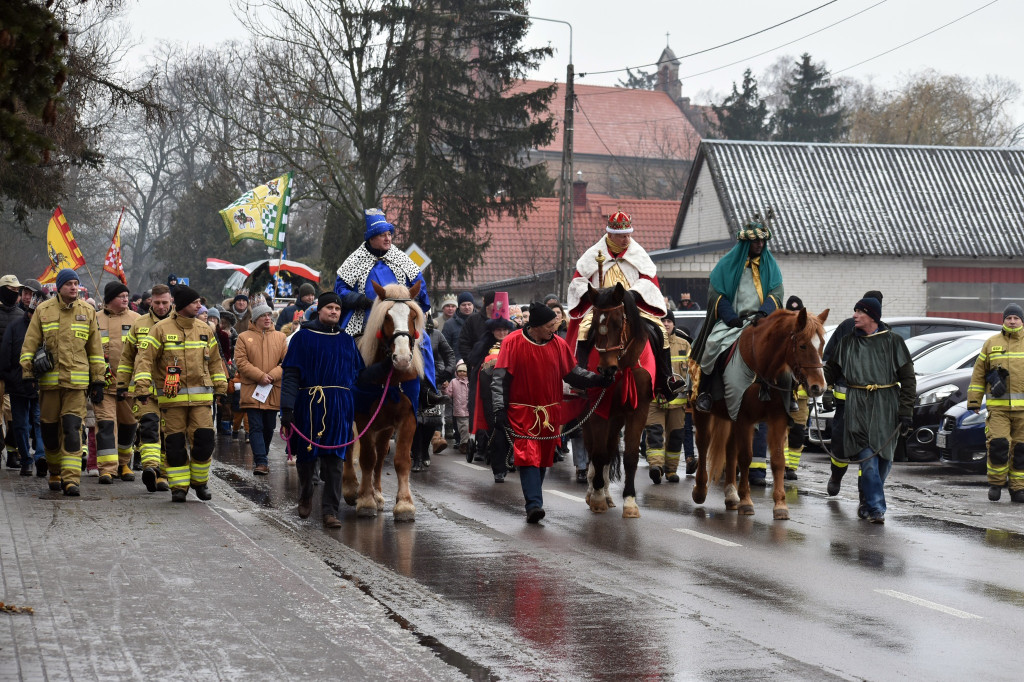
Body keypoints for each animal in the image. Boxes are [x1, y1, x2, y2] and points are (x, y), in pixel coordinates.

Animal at [342, 278, 425, 518]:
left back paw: (378, 493)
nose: (403, 358)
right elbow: (367, 458)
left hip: (385, 426)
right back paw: (351, 488)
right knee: (350, 448)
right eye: (386, 317)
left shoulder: (407, 418)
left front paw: (404, 503)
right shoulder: (362, 417)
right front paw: (365, 500)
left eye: (412, 316)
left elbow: (401, 460)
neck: (390, 375)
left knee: (380, 455)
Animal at [581, 280, 651, 516]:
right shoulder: (598, 410)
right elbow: (598, 454)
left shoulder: (638, 410)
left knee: (610, 449)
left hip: (617, 418)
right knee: (594, 450)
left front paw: (629, 501)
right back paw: (593, 491)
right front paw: (597, 498)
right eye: (594, 323)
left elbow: (629, 457)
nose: (606, 369)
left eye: (619, 322)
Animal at [692, 305, 827, 518]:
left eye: (822, 344)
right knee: (704, 443)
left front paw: (780, 504)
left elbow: (778, 460)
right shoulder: (743, 419)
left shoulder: (777, 419)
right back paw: (700, 490)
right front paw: (747, 501)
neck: (764, 369)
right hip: (702, 411)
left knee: (730, 450)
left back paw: (731, 494)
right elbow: (746, 457)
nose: (819, 387)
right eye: (803, 346)